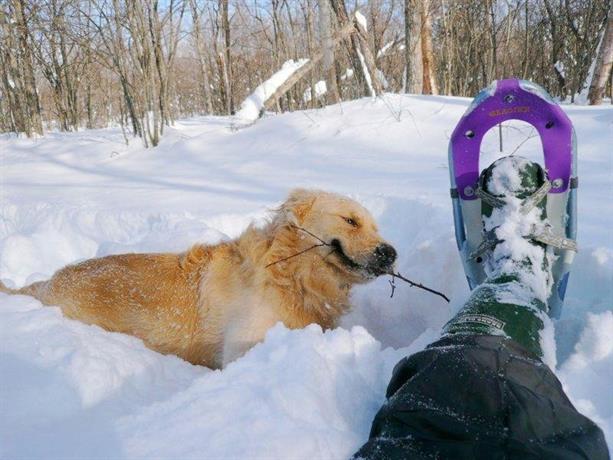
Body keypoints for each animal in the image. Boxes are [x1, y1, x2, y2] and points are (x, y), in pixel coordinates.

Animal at [1, 189, 396, 368]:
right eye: (350, 221)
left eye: (376, 227)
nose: (390, 253)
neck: (290, 275)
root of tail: (44, 286)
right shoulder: (244, 344)